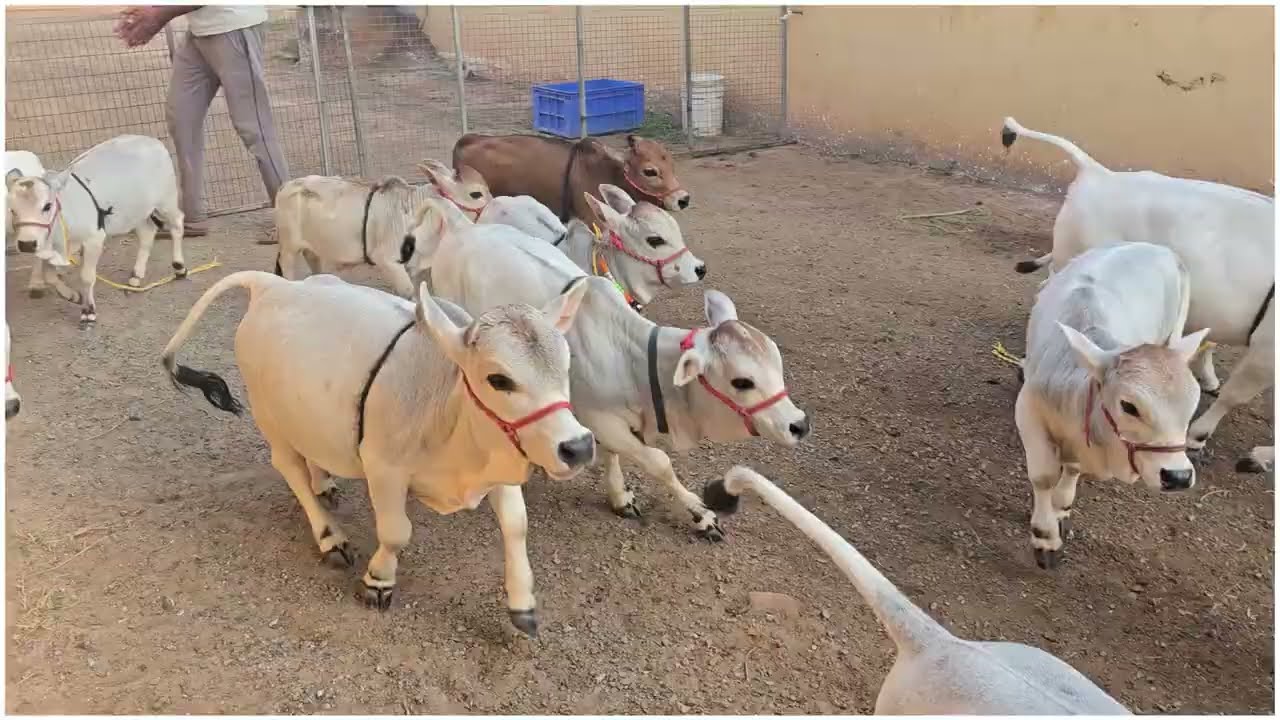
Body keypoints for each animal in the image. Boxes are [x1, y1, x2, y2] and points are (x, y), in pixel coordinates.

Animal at [6, 135, 185, 322]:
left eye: (47, 206)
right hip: (137, 211)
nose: (26, 244)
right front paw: (72, 296)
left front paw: (88, 311)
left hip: (166, 200)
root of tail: (151, 140)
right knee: (147, 233)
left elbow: (86, 277)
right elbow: (49, 277)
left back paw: (179, 267)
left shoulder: (94, 239)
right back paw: (136, 275)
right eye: (12, 210)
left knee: (177, 223)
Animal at [160, 270, 594, 636]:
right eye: (499, 379)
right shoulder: (385, 467)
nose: (578, 446)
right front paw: (379, 580)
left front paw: (523, 605)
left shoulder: (503, 455)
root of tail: (272, 285)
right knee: (289, 465)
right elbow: (396, 531)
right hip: (268, 415)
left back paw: (324, 482)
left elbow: (516, 526)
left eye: (566, 367)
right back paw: (329, 537)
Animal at [418, 216, 808, 539]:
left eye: (777, 364)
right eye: (742, 382)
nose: (799, 424)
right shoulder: (603, 421)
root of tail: (462, 228)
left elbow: (614, 456)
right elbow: (660, 463)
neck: (631, 359)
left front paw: (620, 496)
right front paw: (702, 514)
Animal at [1016, 242, 1208, 569]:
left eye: (1193, 404)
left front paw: (1062, 508)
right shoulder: (1027, 411)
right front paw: (1045, 537)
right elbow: (1044, 477)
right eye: (1129, 406)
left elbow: (1071, 469)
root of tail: (1161, 249)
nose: (1178, 477)